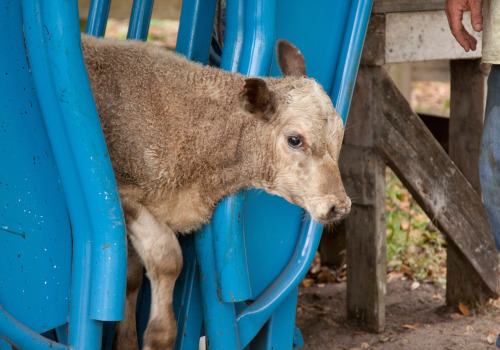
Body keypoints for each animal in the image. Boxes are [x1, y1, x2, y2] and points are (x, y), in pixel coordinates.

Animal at [82, 34, 350, 350]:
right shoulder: (121, 194)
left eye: (340, 136)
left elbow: (133, 277)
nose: (339, 205)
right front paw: (159, 335)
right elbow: (166, 257)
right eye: (295, 139)